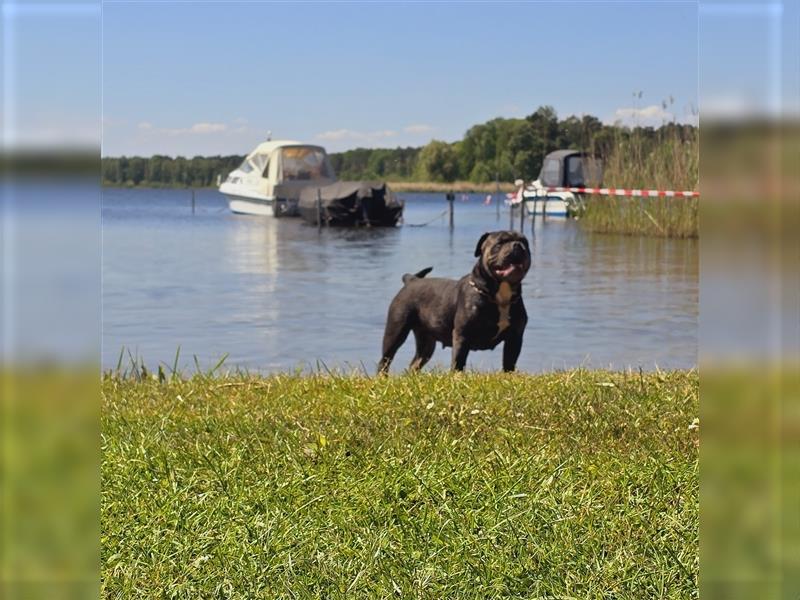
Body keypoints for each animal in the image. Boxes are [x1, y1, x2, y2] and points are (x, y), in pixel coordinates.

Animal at [376, 231, 528, 376]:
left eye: (525, 242)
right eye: (500, 243)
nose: (518, 245)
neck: (500, 296)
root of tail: (411, 280)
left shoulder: (515, 338)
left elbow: (509, 363)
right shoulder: (462, 335)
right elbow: (458, 361)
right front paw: (457, 377)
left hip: (426, 342)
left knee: (415, 363)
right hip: (396, 331)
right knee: (385, 359)